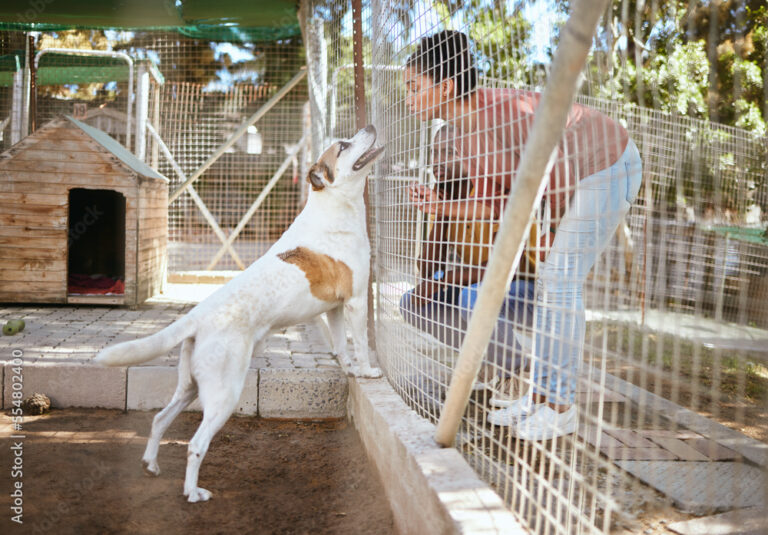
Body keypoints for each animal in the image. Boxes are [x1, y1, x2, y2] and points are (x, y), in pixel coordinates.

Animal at [94, 125, 384, 502]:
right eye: (344, 146)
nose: (370, 128)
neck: (333, 204)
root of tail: (196, 317)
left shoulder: (334, 307)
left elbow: (340, 345)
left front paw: (348, 368)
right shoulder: (356, 300)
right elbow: (361, 343)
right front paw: (367, 371)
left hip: (190, 387)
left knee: (160, 419)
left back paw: (152, 465)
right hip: (224, 393)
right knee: (195, 444)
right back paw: (193, 493)